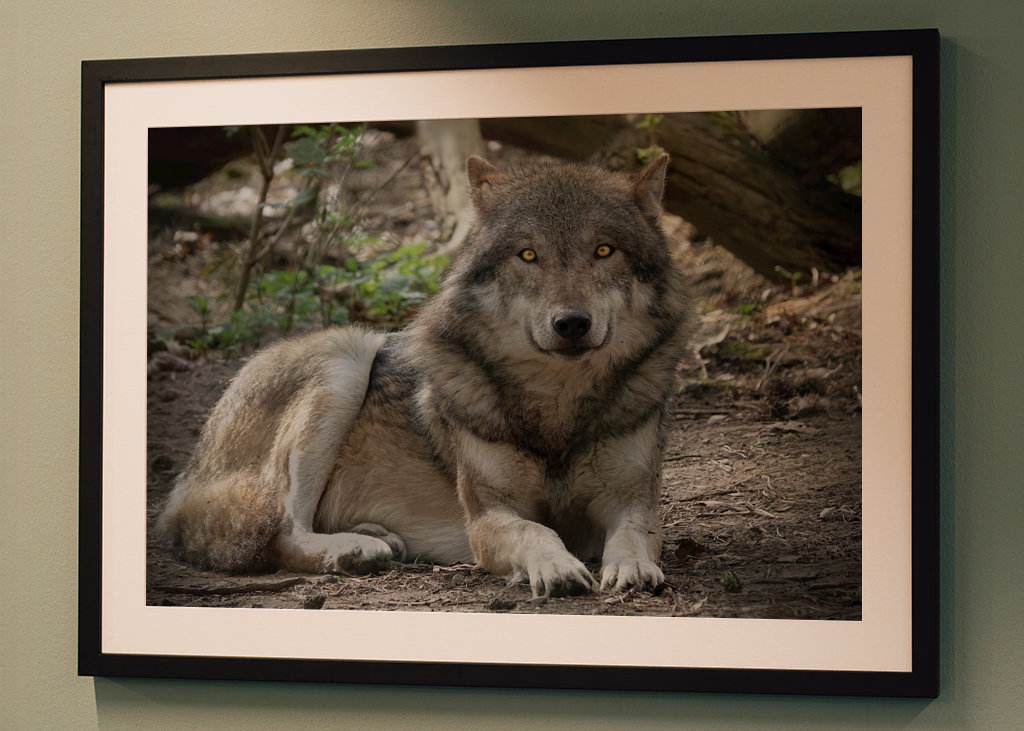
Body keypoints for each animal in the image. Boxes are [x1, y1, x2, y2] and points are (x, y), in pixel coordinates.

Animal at [156, 152, 693, 598]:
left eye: (604, 251)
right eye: (528, 255)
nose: (572, 324)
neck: (557, 403)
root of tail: (188, 472)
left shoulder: (632, 498)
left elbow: (634, 533)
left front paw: (633, 568)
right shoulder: (487, 518)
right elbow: (535, 530)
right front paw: (557, 567)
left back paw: (373, 537)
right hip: (345, 357)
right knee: (283, 534)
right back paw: (353, 552)